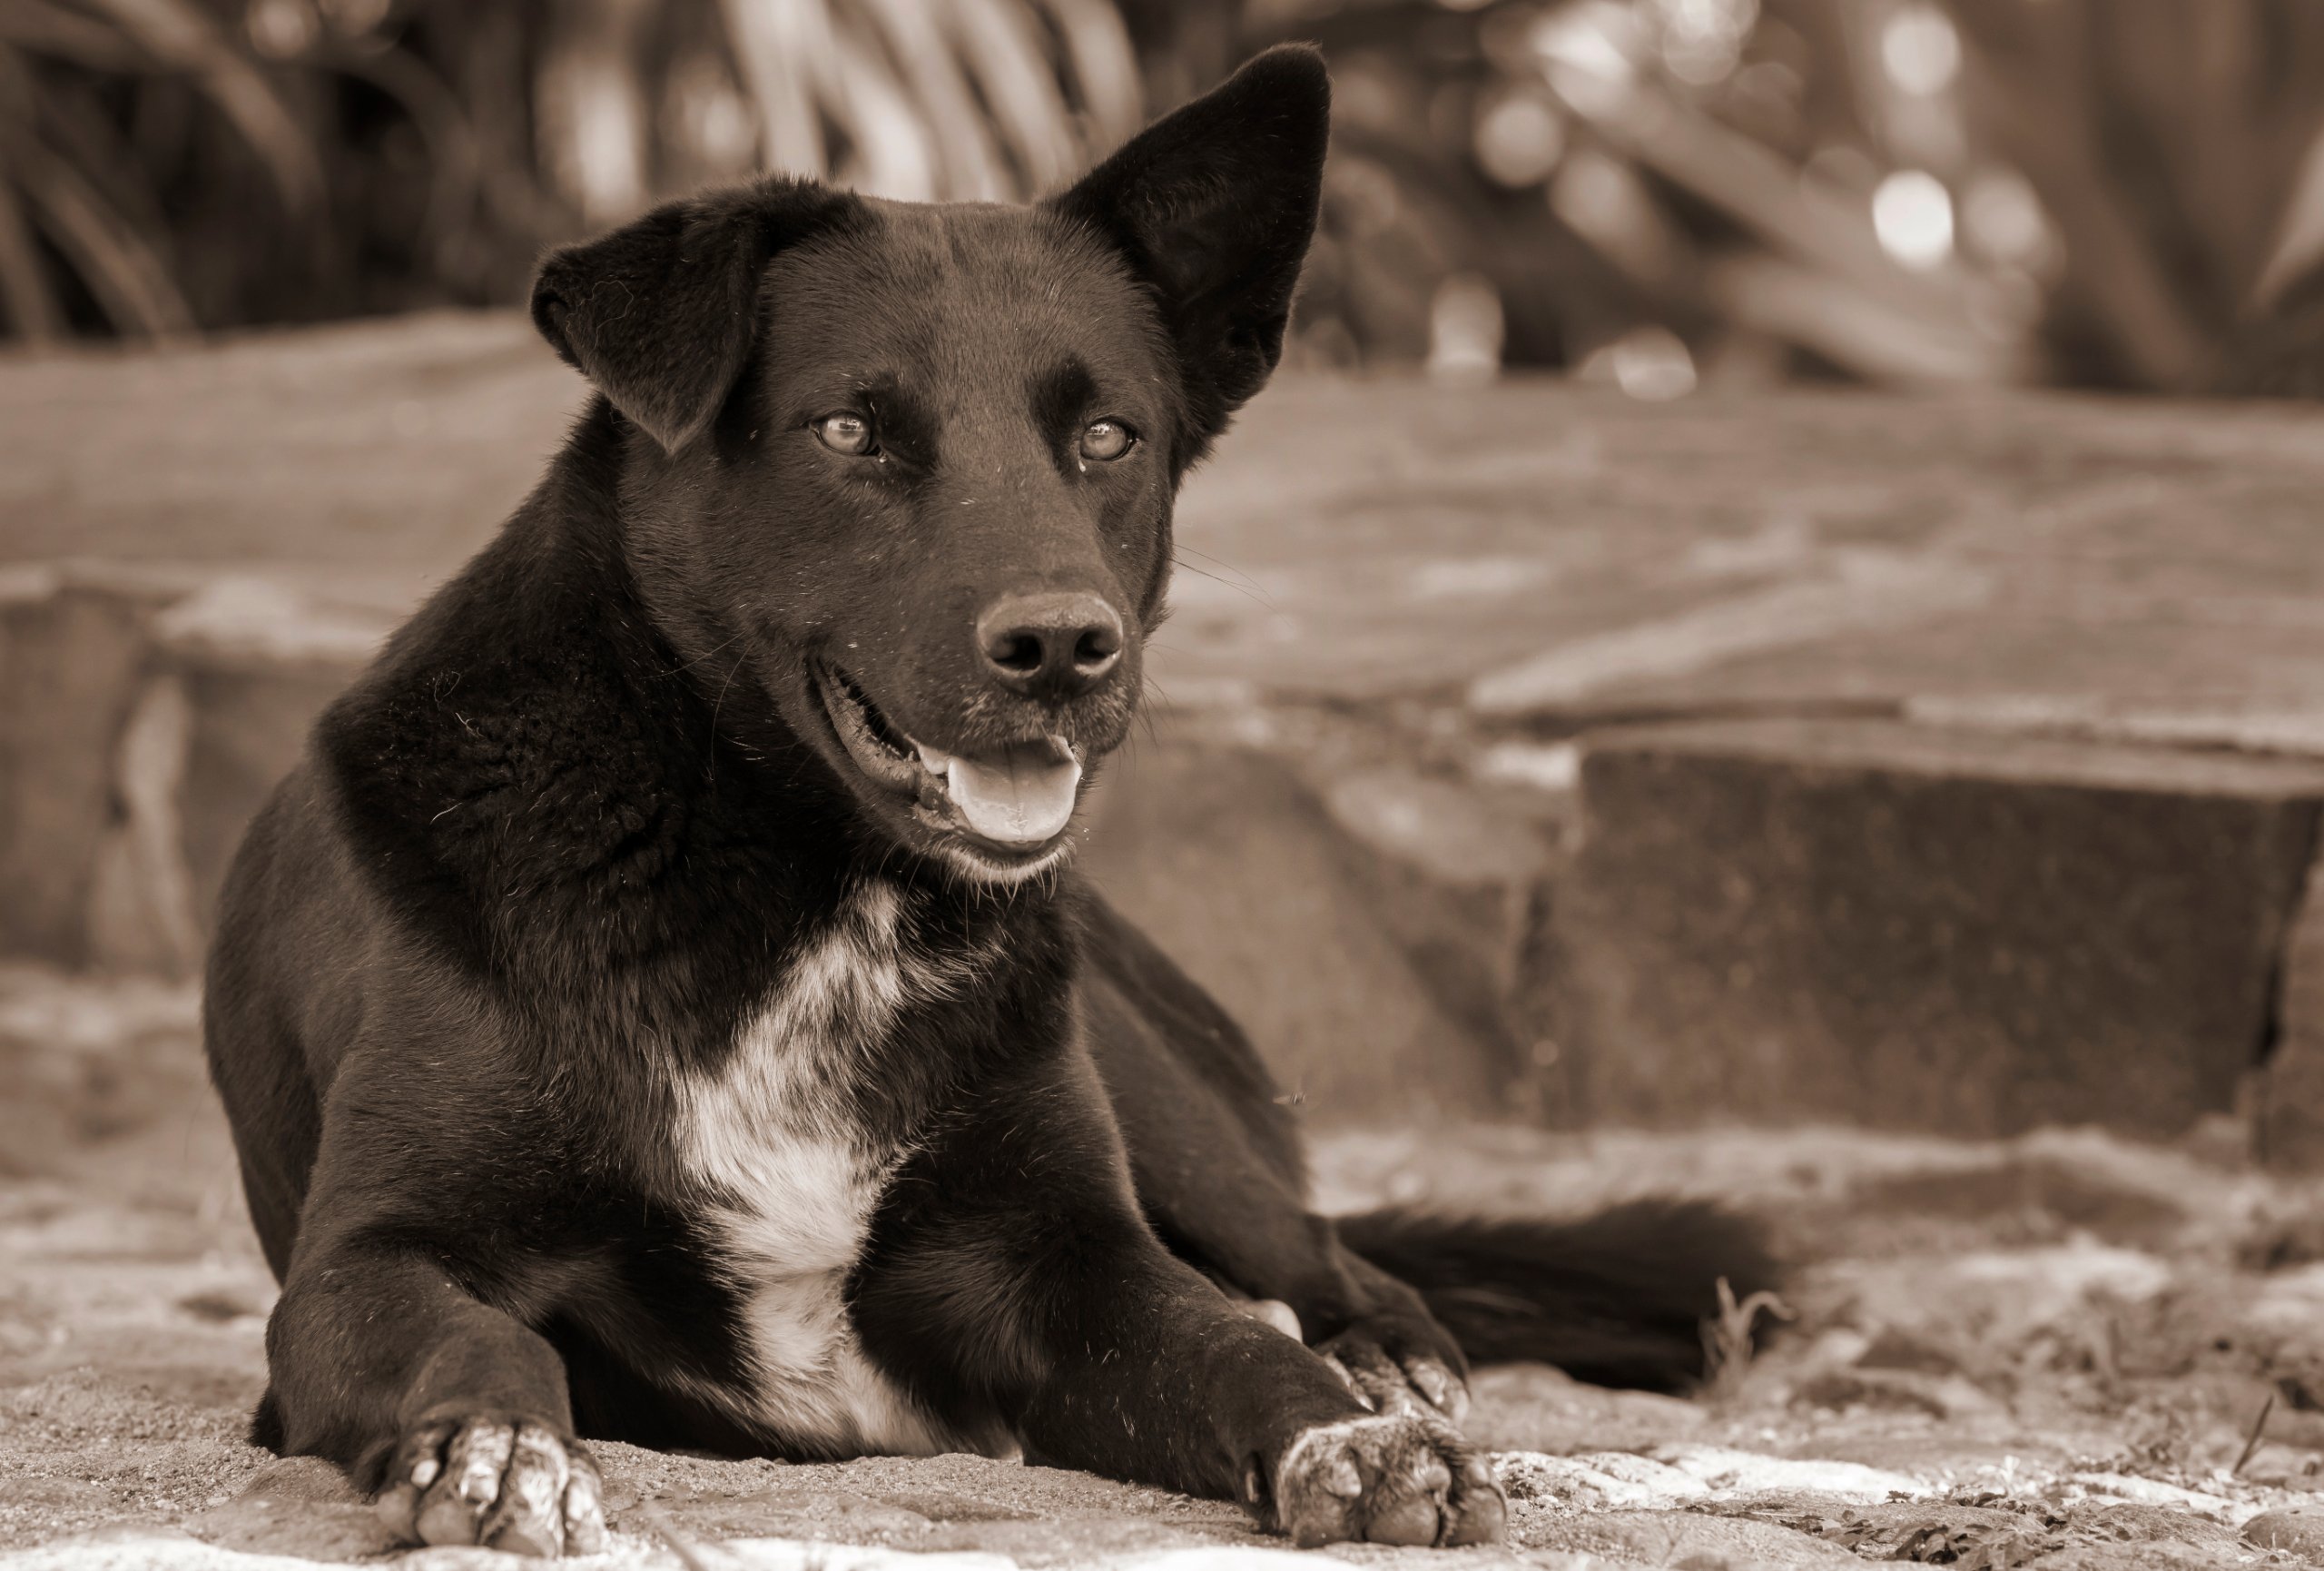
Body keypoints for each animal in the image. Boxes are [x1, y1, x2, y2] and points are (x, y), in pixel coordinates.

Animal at [204, 49, 1775, 1561]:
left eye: (1108, 436)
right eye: (850, 429)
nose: (1065, 647)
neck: (804, 885)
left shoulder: (1065, 1254)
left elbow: (1224, 1344)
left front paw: (1353, 1437)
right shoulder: (372, 1258)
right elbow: (473, 1341)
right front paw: (494, 1449)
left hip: (1160, 1098)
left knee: (1329, 1256)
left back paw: (1385, 1359)